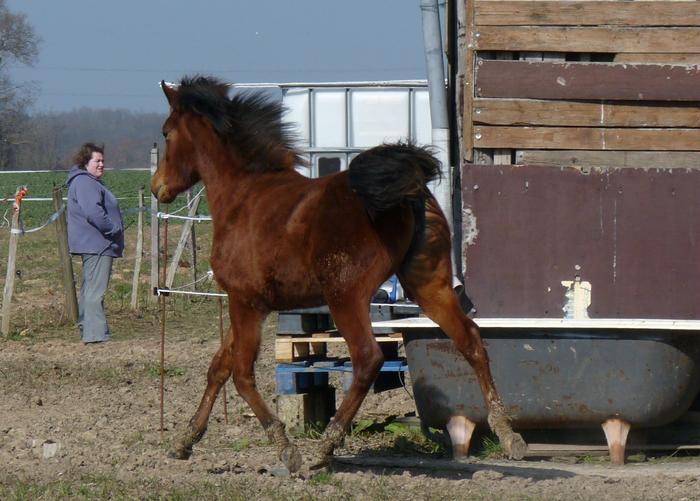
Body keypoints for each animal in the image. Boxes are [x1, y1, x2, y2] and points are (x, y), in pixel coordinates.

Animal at [152, 76, 524, 470]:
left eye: (166, 132)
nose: (157, 186)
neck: (243, 196)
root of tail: (407, 192)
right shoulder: (254, 305)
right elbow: (219, 367)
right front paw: (184, 440)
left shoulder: (243, 301)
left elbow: (240, 373)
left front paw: (286, 449)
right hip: (429, 286)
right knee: (471, 340)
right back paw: (509, 434)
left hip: (345, 296)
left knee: (368, 358)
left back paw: (325, 446)